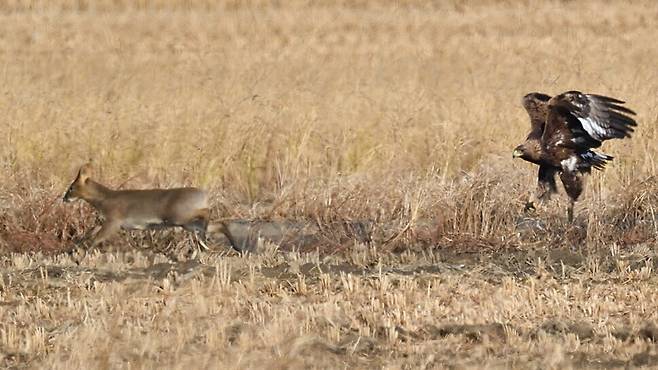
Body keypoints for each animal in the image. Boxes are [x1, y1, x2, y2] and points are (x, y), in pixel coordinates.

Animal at [62, 163, 209, 253]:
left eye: (71, 188)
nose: (64, 198)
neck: (104, 199)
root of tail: (203, 194)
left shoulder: (114, 221)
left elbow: (97, 238)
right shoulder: (103, 221)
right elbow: (88, 234)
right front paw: (73, 248)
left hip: (179, 217)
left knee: (207, 212)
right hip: (185, 223)